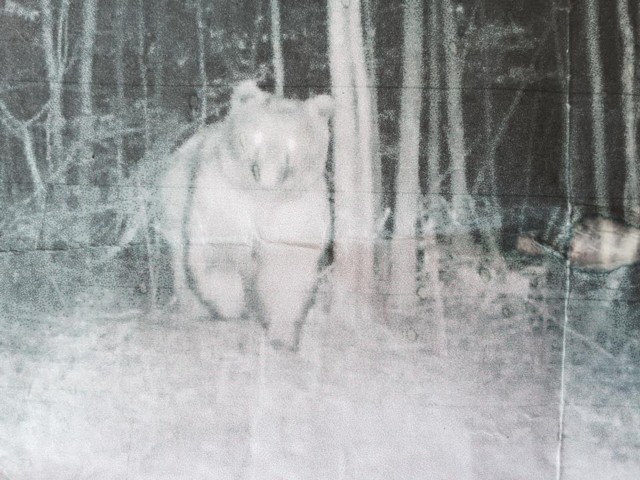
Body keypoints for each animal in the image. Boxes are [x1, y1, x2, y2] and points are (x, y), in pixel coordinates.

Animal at [157, 81, 332, 348]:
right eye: (257, 134)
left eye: (293, 141)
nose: (268, 173)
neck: (262, 197)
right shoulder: (224, 194)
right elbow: (218, 250)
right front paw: (230, 305)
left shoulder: (296, 207)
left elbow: (288, 263)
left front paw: (281, 335)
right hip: (175, 200)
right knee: (181, 260)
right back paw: (196, 309)